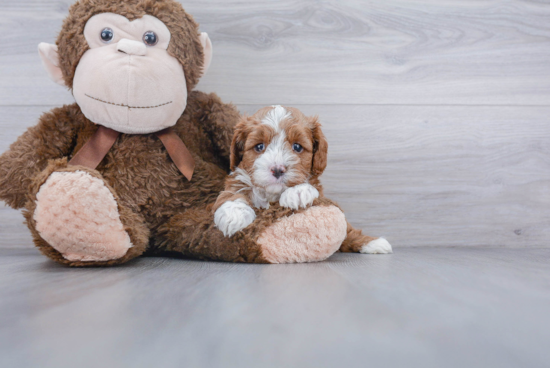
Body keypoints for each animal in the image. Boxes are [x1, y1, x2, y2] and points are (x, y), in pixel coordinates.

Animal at [212, 106, 392, 254]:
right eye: (259, 146)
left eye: (297, 147)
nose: (277, 169)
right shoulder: (237, 178)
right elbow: (232, 193)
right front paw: (234, 215)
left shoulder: (318, 189)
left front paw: (297, 192)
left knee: (348, 230)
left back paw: (373, 243)